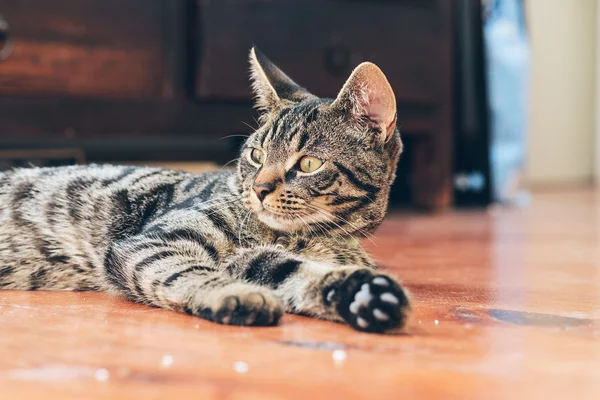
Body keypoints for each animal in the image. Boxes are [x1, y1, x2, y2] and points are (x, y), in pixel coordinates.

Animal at [0, 47, 410, 334]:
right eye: (257, 155)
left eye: (308, 164)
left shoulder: (253, 258)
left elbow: (289, 270)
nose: (259, 188)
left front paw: (362, 295)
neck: (308, 237)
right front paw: (234, 294)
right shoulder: (155, 242)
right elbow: (187, 271)